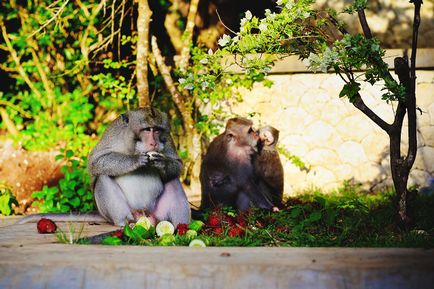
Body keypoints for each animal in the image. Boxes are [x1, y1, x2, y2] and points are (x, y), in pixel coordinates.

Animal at [16, 107, 189, 226]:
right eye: (147, 129)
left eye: (157, 130)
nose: (153, 143)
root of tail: (144, 215)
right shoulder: (114, 134)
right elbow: (95, 161)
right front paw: (135, 160)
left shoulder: (167, 138)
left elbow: (177, 165)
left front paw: (161, 163)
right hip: (119, 213)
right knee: (104, 177)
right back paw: (125, 223)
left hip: (157, 213)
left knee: (173, 180)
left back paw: (182, 228)